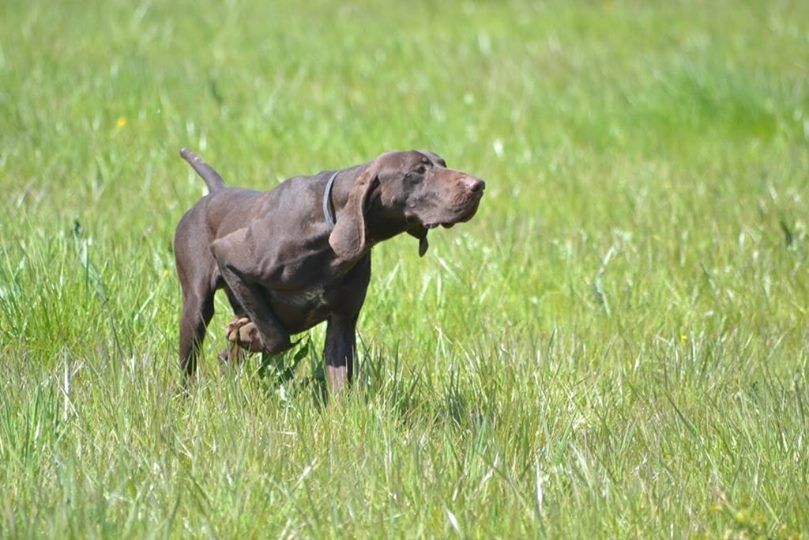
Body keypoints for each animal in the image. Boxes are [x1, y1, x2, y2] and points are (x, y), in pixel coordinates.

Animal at [173, 148, 482, 392]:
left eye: (442, 163)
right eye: (418, 170)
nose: (479, 185)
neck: (328, 224)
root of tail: (217, 191)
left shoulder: (342, 323)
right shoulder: (228, 254)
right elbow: (277, 336)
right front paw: (252, 334)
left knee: (227, 357)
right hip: (197, 308)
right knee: (189, 366)